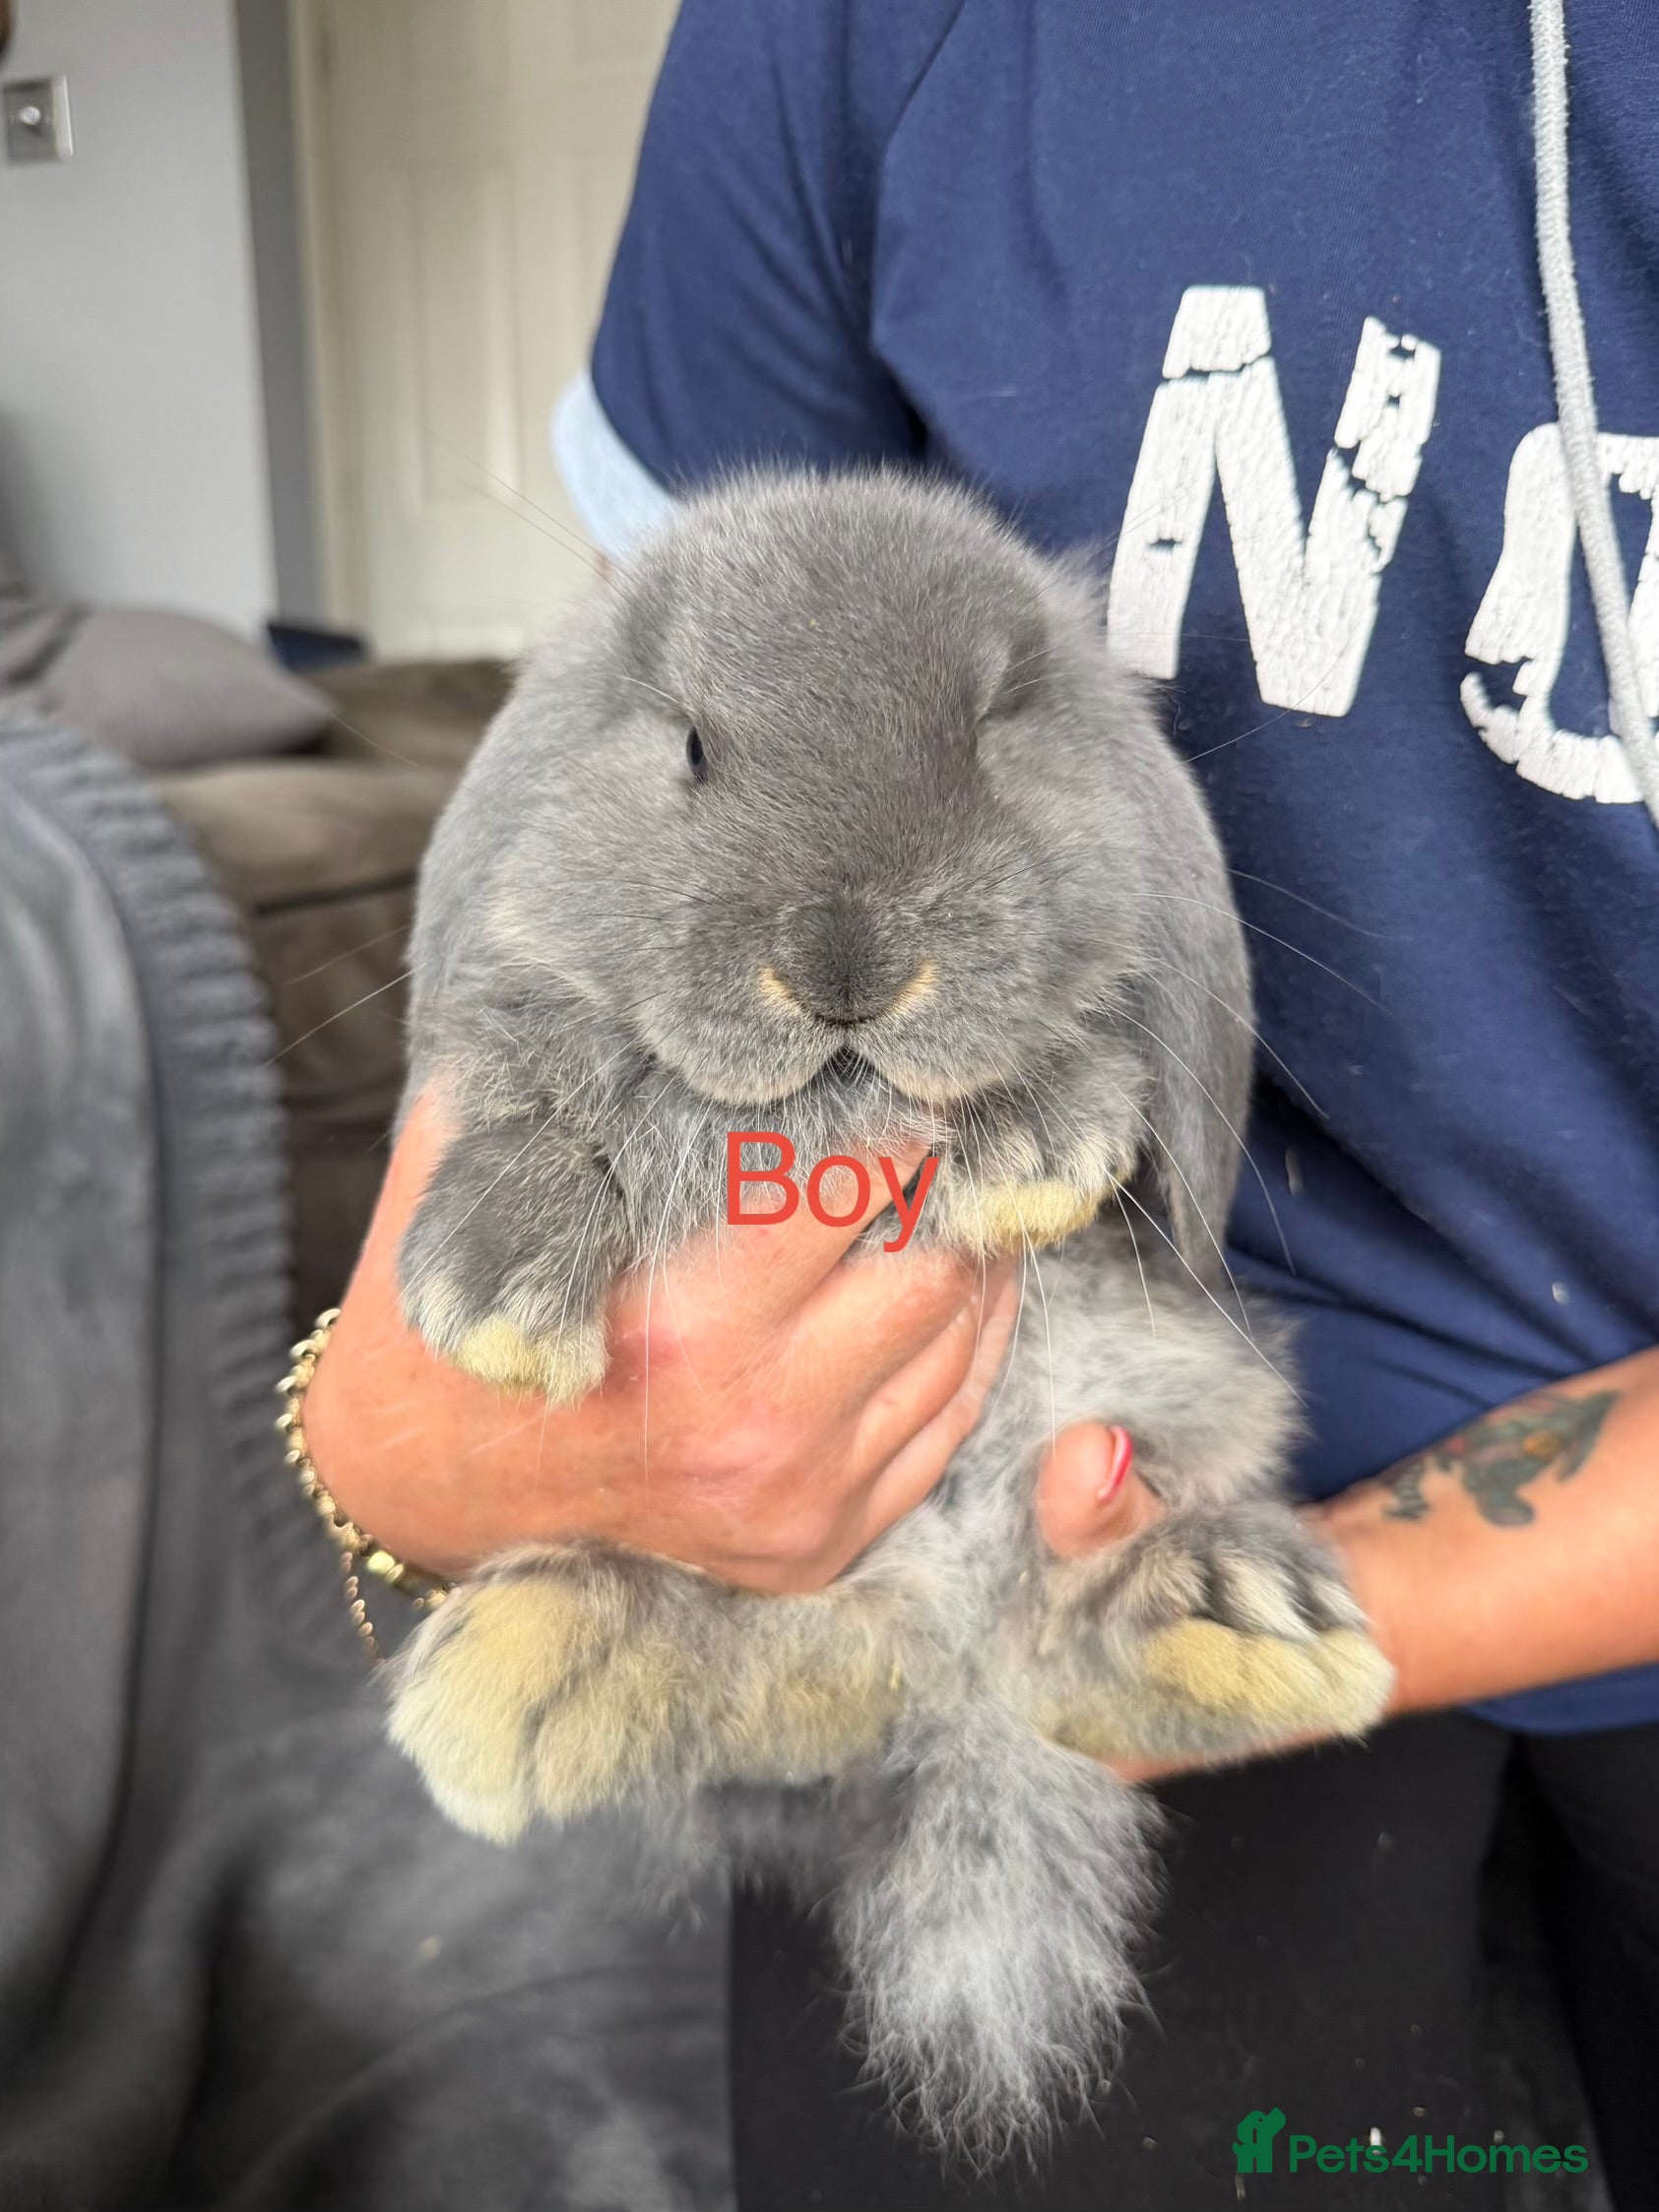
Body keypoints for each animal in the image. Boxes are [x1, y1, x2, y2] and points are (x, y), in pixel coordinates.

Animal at [385, 470, 1393, 2156]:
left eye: (992, 731)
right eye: (691, 742)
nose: (844, 960)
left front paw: (1025, 1141)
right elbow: (570, 1079)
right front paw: (495, 1288)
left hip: (1158, 1412)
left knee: (1043, 1653)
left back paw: (1226, 1613)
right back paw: (531, 1669)